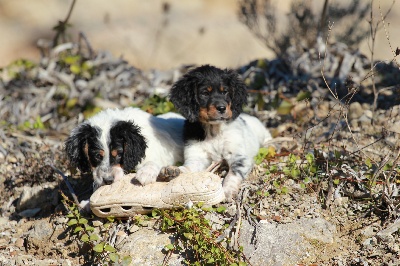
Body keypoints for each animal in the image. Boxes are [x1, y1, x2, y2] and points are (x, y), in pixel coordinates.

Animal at [165, 65, 272, 201]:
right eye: (205, 93)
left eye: (225, 91)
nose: (222, 108)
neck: (214, 131)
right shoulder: (197, 156)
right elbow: (189, 167)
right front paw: (175, 171)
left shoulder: (240, 157)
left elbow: (233, 174)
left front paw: (227, 190)